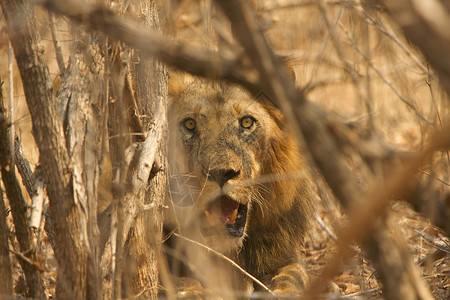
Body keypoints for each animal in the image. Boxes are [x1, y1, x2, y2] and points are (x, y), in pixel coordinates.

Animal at [167, 75, 314, 296]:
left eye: (246, 122)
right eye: (190, 124)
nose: (221, 172)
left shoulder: (287, 256)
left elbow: (293, 278)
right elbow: (181, 283)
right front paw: (196, 293)